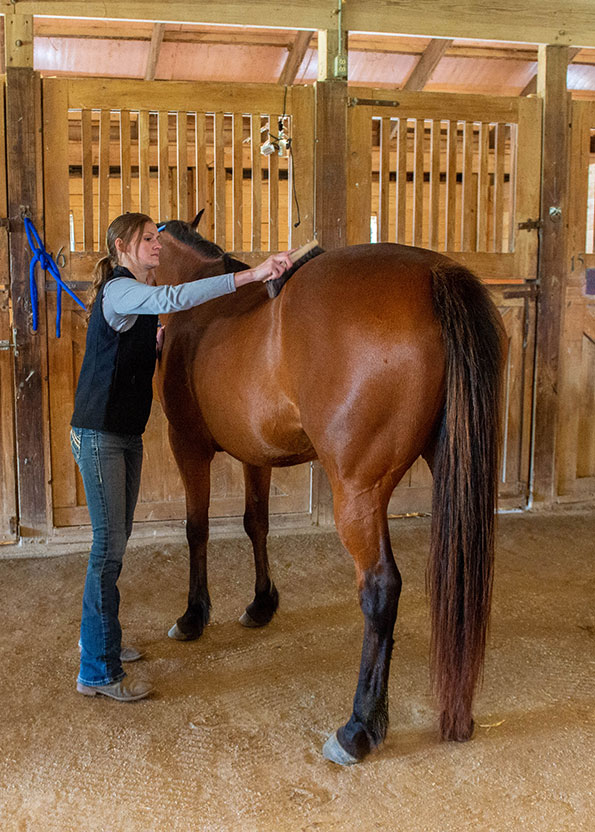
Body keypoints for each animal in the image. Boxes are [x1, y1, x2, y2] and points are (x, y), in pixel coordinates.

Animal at [155, 216, 508, 768]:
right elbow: (256, 524)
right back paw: (458, 716)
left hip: (358, 493)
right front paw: (262, 604)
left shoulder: (187, 446)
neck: (201, 296)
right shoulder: (257, 456)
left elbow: (196, 530)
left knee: (381, 588)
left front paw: (193, 616)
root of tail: (433, 273)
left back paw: (358, 728)